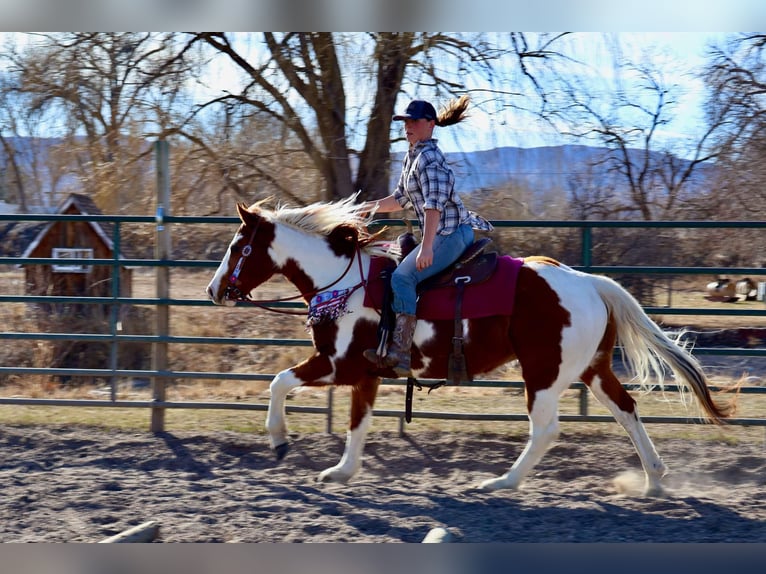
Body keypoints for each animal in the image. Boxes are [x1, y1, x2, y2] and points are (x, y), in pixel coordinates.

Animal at [206, 196, 736, 498]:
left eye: (236, 247)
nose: (215, 291)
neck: (342, 283)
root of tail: (589, 283)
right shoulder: (367, 375)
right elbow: (358, 424)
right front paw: (342, 471)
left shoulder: (338, 364)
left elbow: (278, 383)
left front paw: (279, 440)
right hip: (593, 370)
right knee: (627, 410)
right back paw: (654, 479)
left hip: (543, 374)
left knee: (546, 430)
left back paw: (502, 482)